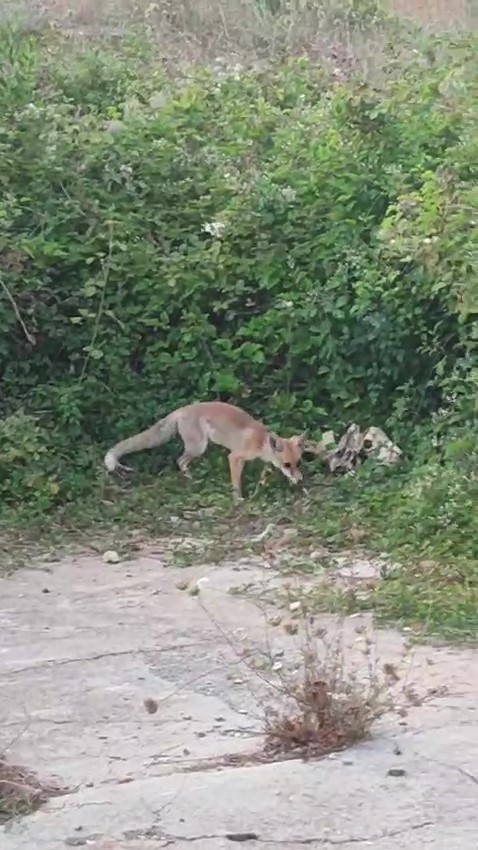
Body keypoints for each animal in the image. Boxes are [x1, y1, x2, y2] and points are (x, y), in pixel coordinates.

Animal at [104, 400, 306, 500]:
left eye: (298, 463)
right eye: (287, 464)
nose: (300, 480)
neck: (260, 443)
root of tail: (181, 410)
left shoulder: (266, 462)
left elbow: (264, 476)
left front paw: (259, 490)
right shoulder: (235, 457)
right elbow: (236, 483)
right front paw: (238, 499)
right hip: (198, 447)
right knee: (179, 461)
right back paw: (190, 481)